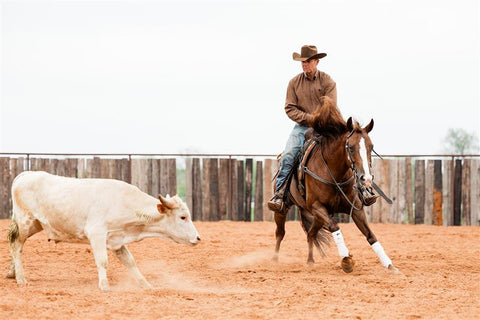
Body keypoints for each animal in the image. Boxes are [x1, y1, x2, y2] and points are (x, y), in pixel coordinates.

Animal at [274, 97, 398, 272]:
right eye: (350, 147)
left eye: (371, 146)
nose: (366, 178)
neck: (335, 176)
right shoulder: (317, 206)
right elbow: (335, 226)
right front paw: (346, 258)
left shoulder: (355, 208)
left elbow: (370, 235)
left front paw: (389, 264)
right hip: (284, 209)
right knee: (280, 232)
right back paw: (275, 259)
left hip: (317, 217)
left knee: (311, 233)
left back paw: (310, 261)